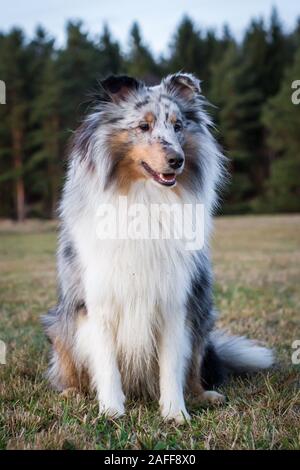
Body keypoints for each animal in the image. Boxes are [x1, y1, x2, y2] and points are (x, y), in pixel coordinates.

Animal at [42, 73, 274, 422]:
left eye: (178, 126)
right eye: (144, 126)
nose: (177, 160)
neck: (146, 198)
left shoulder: (174, 302)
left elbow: (172, 366)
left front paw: (175, 413)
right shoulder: (100, 300)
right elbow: (106, 365)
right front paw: (111, 411)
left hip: (201, 318)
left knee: (193, 369)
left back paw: (205, 395)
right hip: (61, 325)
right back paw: (72, 393)